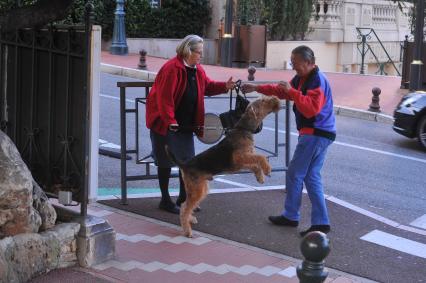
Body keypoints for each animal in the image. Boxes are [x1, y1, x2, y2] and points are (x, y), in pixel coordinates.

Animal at [167, 95, 282, 237]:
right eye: (263, 101)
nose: (276, 99)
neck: (243, 129)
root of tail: (184, 164)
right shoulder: (240, 157)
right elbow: (261, 157)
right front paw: (267, 169)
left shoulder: (242, 161)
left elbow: (255, 165)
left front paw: (260, 178)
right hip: (196, 189)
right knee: (184, 207)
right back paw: (187, 231)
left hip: (201, 188)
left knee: (186, 206)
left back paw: (191, 219)